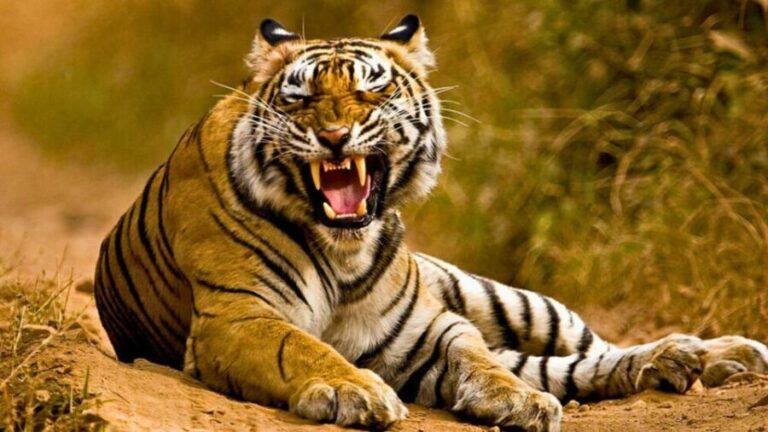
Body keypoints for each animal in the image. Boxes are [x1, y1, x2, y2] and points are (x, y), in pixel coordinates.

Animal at [93, 15, 768, 431]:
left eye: (371, 90)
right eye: (300, 97)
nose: (333, 136)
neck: (344, 250)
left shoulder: (424, 329)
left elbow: (478, 358)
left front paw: (518, 401)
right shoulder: (236, 317)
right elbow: (302, 346)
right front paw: (358, 390)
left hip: (506, 298)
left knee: (587, 348)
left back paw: (715, 354)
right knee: (567, 366)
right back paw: (687, 363)